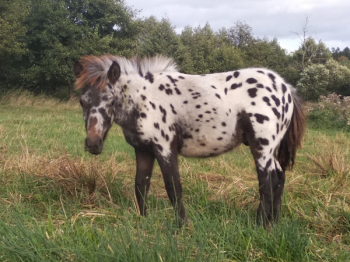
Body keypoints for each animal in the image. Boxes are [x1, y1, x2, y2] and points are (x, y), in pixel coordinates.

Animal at [74, 55, 306, 227]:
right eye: (82, 101)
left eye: (110, 99)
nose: (93, 144)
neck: (143, 99)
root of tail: (286, 88)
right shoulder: (143, 150)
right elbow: (141, 184)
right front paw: (143, 220)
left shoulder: (164, 148)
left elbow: (173, 186)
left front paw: (182, 226)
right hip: (270, 150)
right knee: (279, 177)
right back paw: (274, 222)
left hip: (262, 148)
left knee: (267, 182)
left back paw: (260, 225)